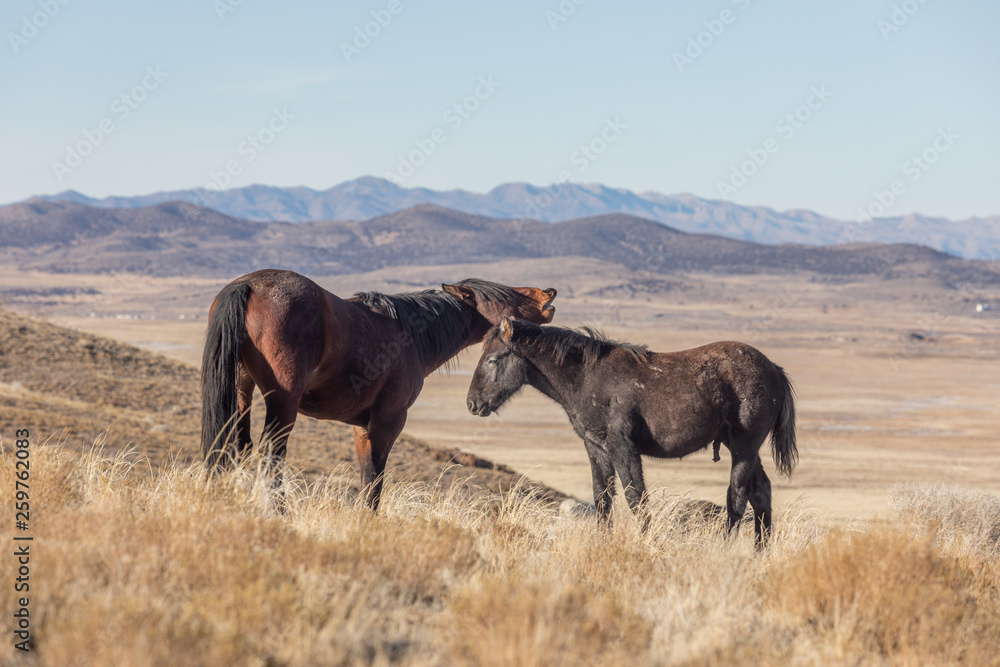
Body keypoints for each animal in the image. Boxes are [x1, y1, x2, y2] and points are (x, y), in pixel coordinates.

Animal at [201, 269, 557, 510]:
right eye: (506, 296)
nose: (548, 293)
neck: (410, 335)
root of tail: (247, 285)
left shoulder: (361, 427)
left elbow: (365, 477)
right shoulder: (388, 420)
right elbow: (374, 479)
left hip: (241, 393)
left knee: (234, 446)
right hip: (282, 402)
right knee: (271, 454)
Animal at [465, 317, 797, 547]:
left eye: (493, 358)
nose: (472, 403)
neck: (587, 377)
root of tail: (774, 369)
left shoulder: (622, 447)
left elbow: (635, 497)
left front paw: (647, 543)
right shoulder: (596, 448)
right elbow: (603, 499)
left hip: (743, 447)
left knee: (737, 497)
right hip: (741, 447)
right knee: (761, 494)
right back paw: (759, 555)